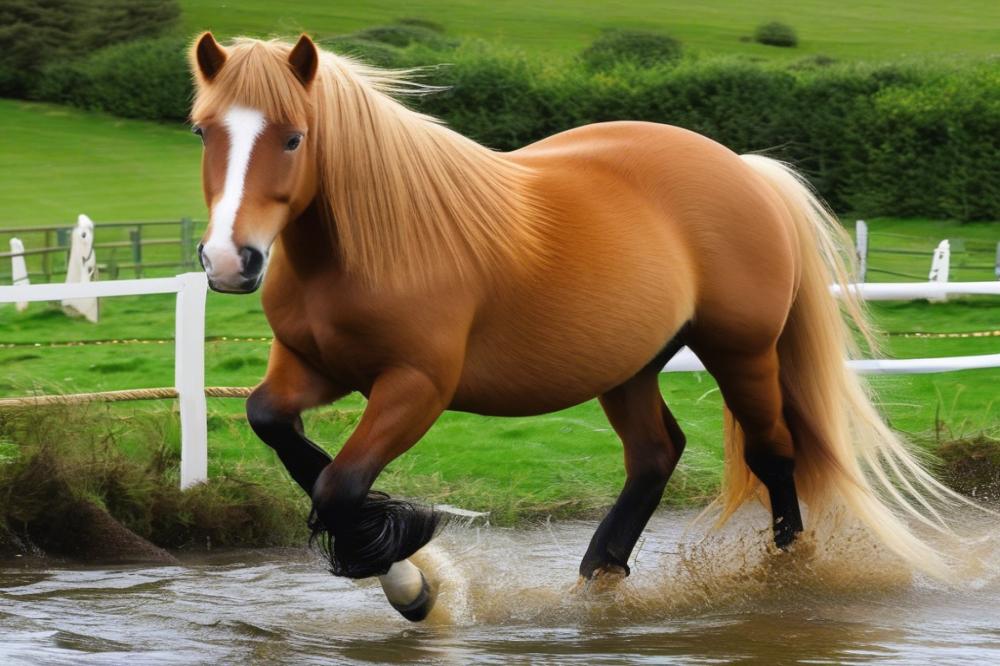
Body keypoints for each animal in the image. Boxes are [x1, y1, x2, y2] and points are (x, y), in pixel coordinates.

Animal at [188, 35, 960, 616]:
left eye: (295, 137)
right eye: (203, 130)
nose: (230, 260)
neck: (369, 245)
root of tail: (742, 169)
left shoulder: (415, 386)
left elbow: (340, 486)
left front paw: (411, 583)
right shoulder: (308, 366)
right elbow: (277, 429)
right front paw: (403, 564)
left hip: (741, 353)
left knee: (774, 453)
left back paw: (789, 573)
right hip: (629, 368)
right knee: (655, 454)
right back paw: (600, 575)